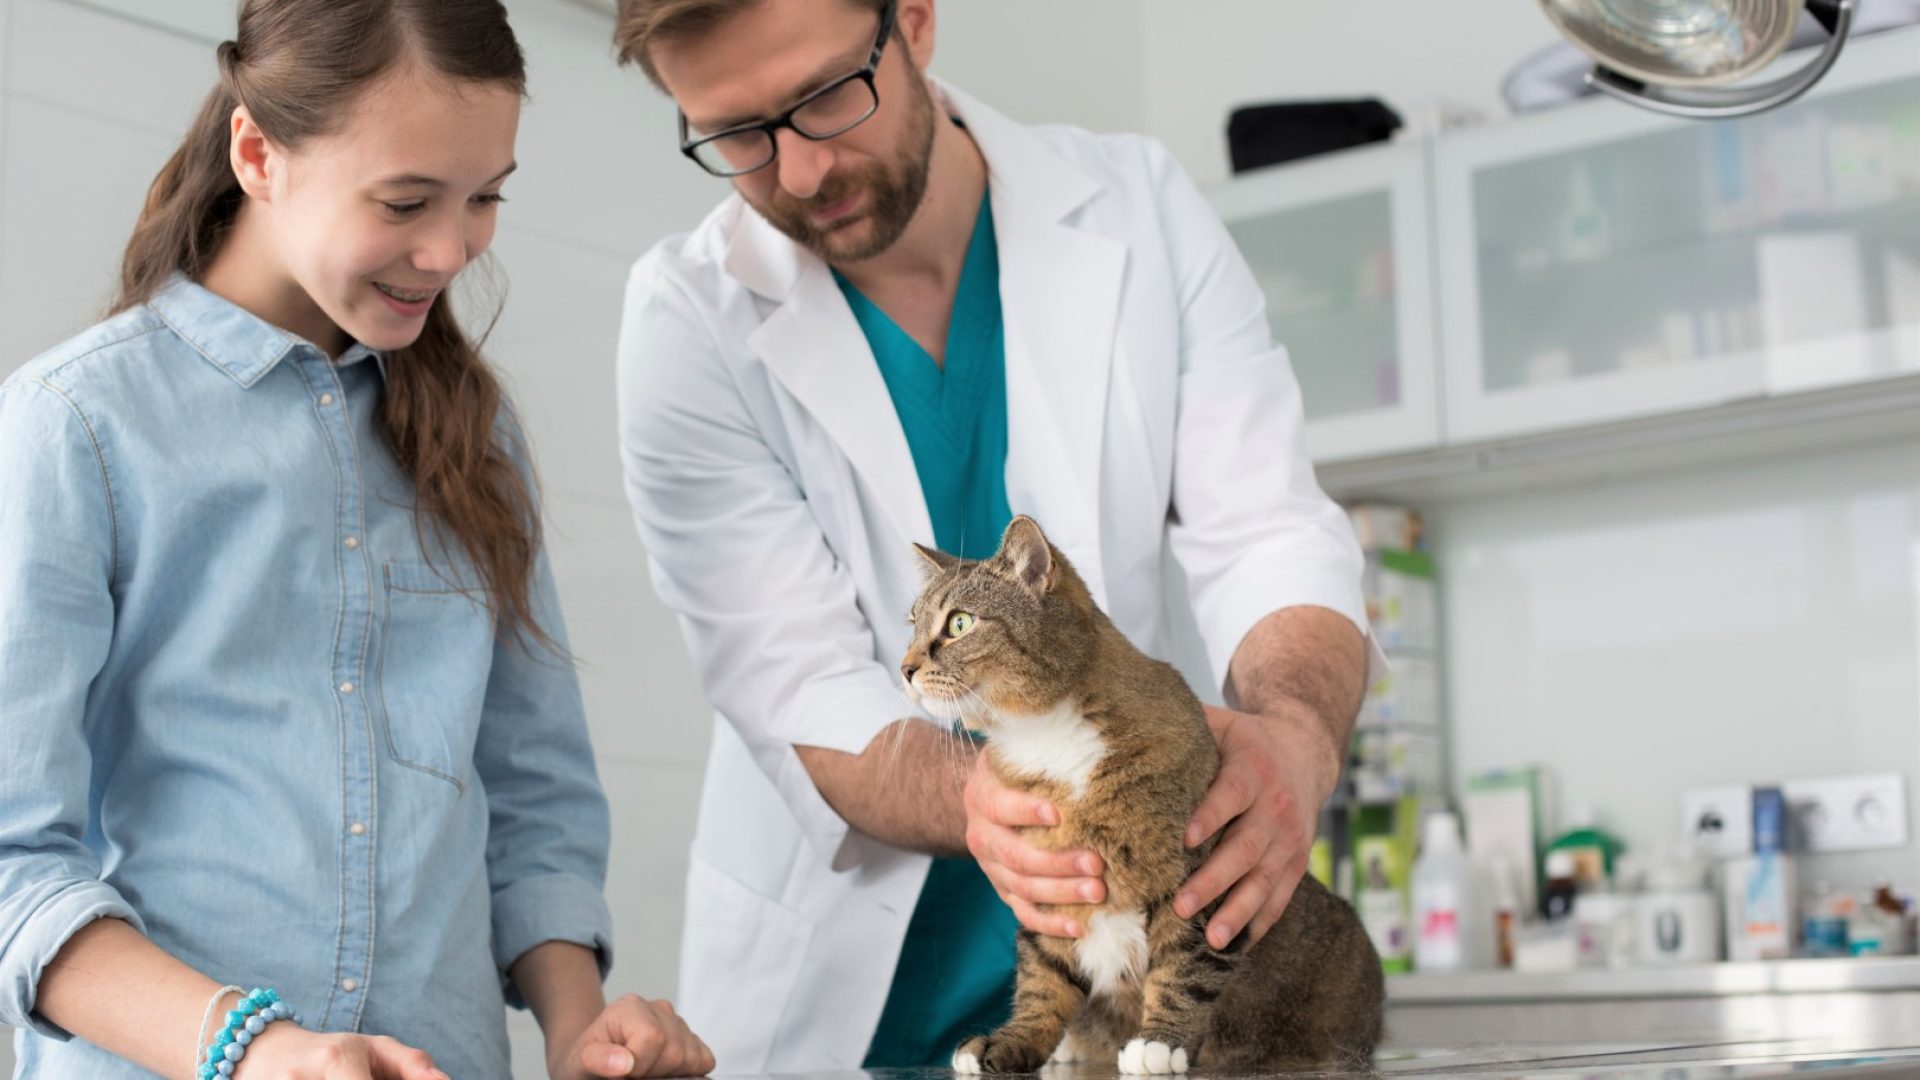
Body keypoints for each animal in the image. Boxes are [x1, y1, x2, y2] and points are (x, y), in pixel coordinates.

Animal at [898, 511, 1382, 1068]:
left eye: (959, 623)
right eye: (912, 624)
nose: (905, 668)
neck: (1047, 739)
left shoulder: (1196, 880)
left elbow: (1185, 965)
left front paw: (1160, 1043)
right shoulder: (1046, 883)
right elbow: (1041, 978)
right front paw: (1014, 1039)